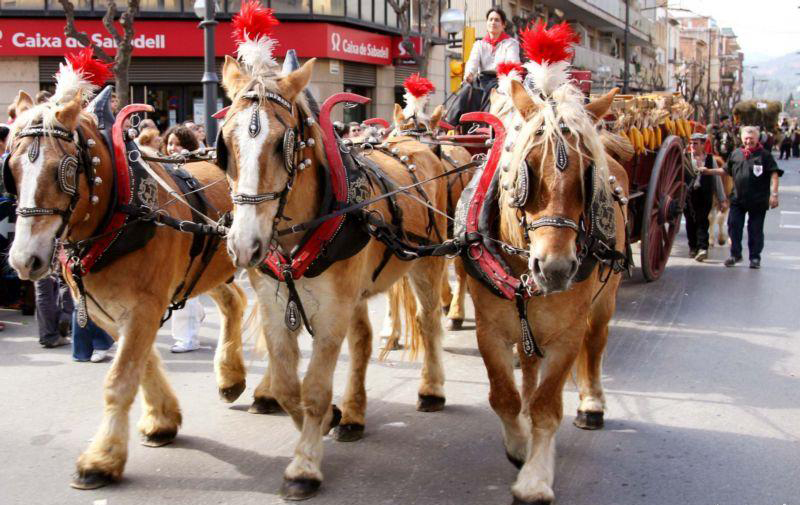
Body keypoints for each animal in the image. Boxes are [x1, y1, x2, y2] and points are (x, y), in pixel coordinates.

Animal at [3, 88, 247, 486]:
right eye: (12, 171)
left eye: (62, 170)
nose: (25, 260)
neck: (122, 211)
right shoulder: (108, 310)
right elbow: (141, 364)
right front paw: (162, 419)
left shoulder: (144, 308)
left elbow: (119, 379)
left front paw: (101, 459)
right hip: (206, 268)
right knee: (234, 301)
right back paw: (230, 377)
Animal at [219, 56, 446, 500]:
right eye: (226, 145)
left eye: (281, 144)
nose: (243, 246)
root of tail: (415, 146)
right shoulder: (275, 305)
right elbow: (288, 386)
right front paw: (326, 420)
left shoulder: (332, 311)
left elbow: (314, 388)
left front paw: (304, 466)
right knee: (362, 342)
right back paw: (354, 414)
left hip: (426, 266)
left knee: (428, 323)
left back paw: (431, 390)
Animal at [472, 80, 628, 502]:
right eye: (523, 167)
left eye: (588, 174)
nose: (555, 268)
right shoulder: (489, 331)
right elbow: (503, 397)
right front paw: (519, 444)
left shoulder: (566, 337)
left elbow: (547, 406)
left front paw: (535, 476)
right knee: (527, 364)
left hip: (604, 302)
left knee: (596, 344)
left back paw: (592, 403)